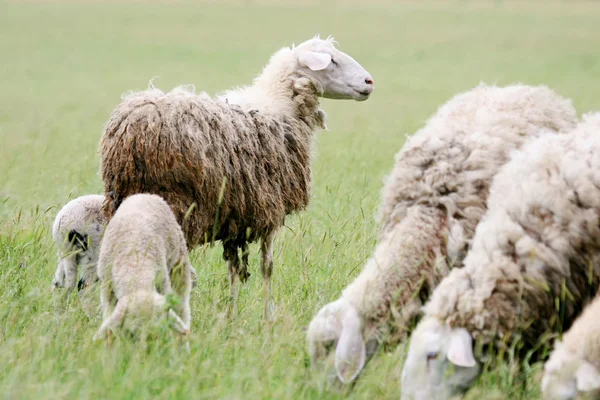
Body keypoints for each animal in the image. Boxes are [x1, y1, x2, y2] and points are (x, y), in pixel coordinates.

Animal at [92, 194, 192, 340]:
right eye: (131, 333)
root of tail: (146, 194)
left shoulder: (163, 283)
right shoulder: (107, 290)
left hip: (178, 264)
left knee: (182, 306)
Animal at [99, 35, 372, 316]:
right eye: (333, 61)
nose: (369, 82)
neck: (279, 107)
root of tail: (134, 127)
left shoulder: (234, 215)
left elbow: (233, 269)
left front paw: (231, 312)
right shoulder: (269, 208)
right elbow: (267, 266)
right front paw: (267, 315)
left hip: (126, 201)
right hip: (176, 204)